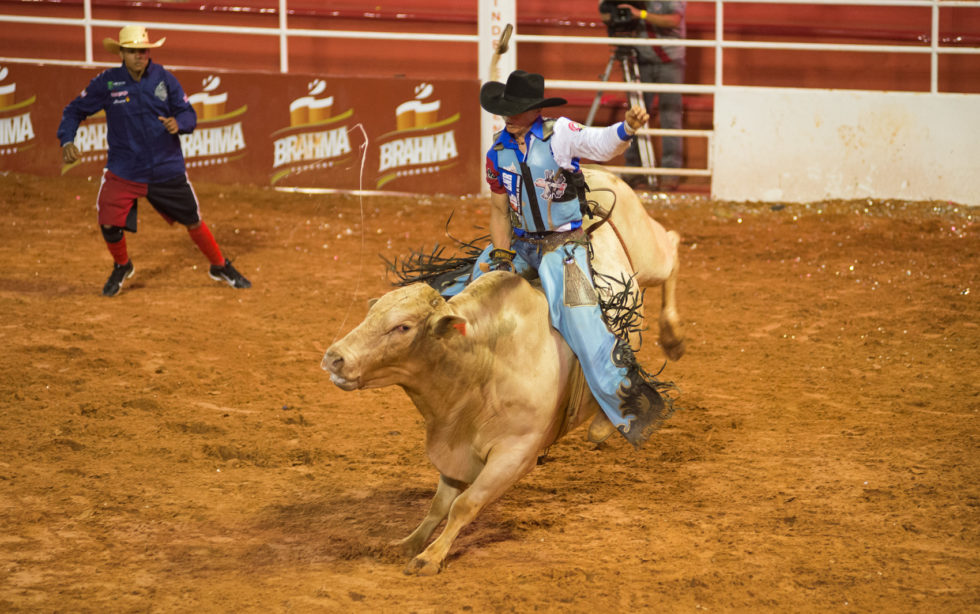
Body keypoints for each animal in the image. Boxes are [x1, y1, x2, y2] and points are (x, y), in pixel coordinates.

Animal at [322, 168, 680, 576]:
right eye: (371, 314)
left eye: (403, 327)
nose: (335, 358)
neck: (481, 365)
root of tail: (595, 172)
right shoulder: (453, 447)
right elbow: (439, 504)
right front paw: (409, 543)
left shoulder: (515, 454)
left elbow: (464, 505)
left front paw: (431, 556)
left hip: (649, 254)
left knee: (672, 247)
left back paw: (671, 339)